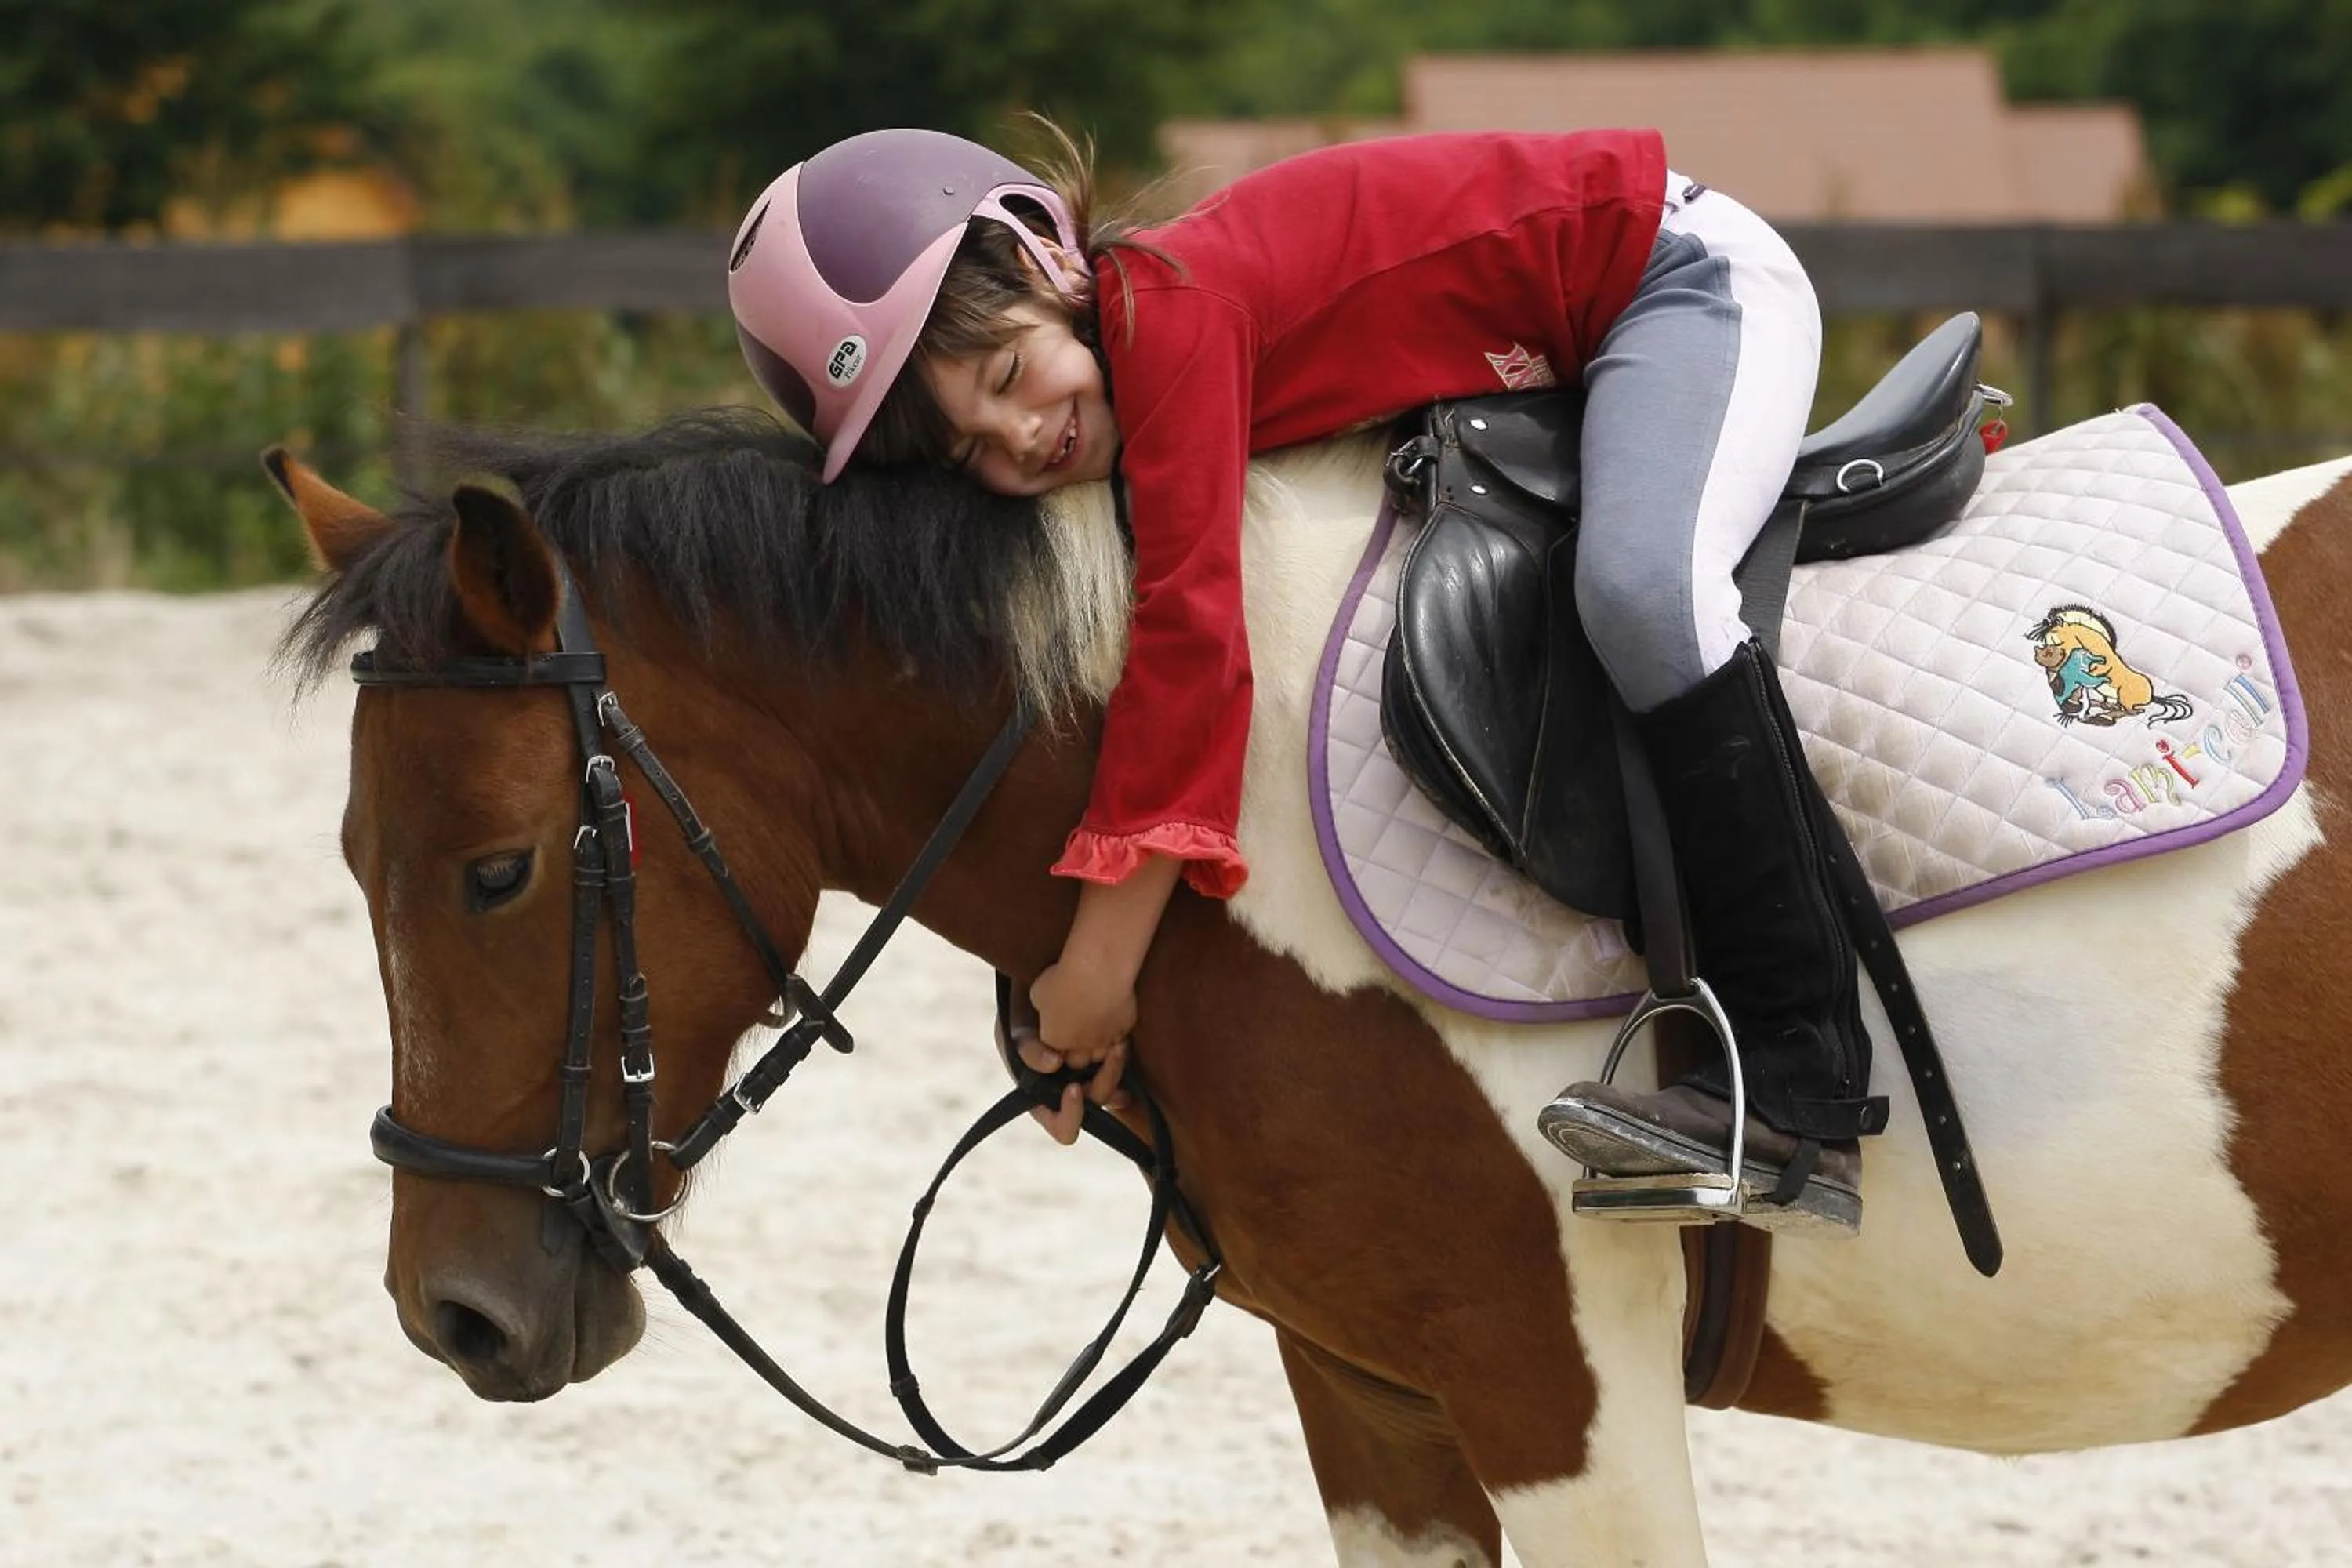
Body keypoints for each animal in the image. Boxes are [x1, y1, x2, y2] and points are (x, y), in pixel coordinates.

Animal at [271, 408, 2352, 1567]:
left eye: (497, 869)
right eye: (357, 866)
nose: (456, 1313)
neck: (1193, 799)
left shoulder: (1557, 1389)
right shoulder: (1378, 1399)